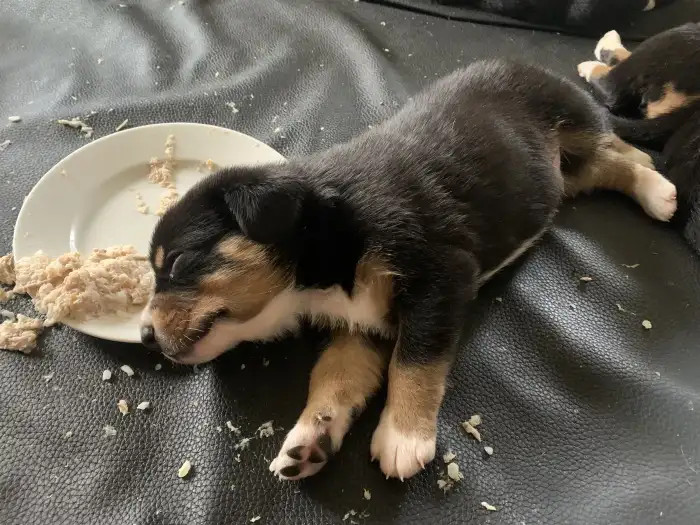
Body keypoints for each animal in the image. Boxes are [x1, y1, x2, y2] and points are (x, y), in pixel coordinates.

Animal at [140, 59, 676, 481]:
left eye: (179, 262)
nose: (144, 335)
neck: (328, 234)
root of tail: (528, 63)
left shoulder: (438, 277)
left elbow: (415, 361)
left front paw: (403, 437)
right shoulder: (361, 326)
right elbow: (334, 376)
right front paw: (309, 440)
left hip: (571, 121)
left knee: (616, 148)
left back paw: (659, 188)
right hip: (562, 173)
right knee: (601, 165)